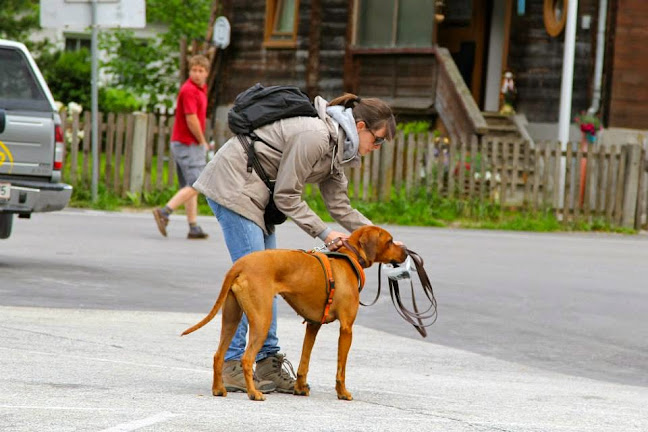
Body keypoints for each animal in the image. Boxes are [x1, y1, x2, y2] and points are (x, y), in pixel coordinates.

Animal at [182, 226, 404, 402]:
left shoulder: (313, 325)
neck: (349, 258)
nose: (405, 252)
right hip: (262, 319)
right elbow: (341, 369)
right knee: (246, 359)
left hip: (232, 318)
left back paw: (218, 389)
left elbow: (304, 362)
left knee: (218, 355)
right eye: (390, 241)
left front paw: (300, 388)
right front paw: (342, 393)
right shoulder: (347, 328)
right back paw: (254, 393)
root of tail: (240, 264)